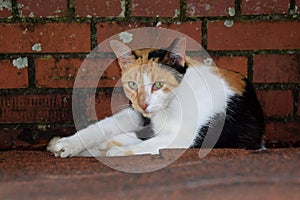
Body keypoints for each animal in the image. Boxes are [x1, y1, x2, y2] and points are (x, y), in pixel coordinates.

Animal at [47, 37, 264, 158]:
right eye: (132, 85)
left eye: (158, 85)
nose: (143, 104)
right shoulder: (135, 113)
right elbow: (103, 126)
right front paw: (68, 143)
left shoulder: (185, 138)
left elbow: (150, 144)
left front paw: (117, 152)